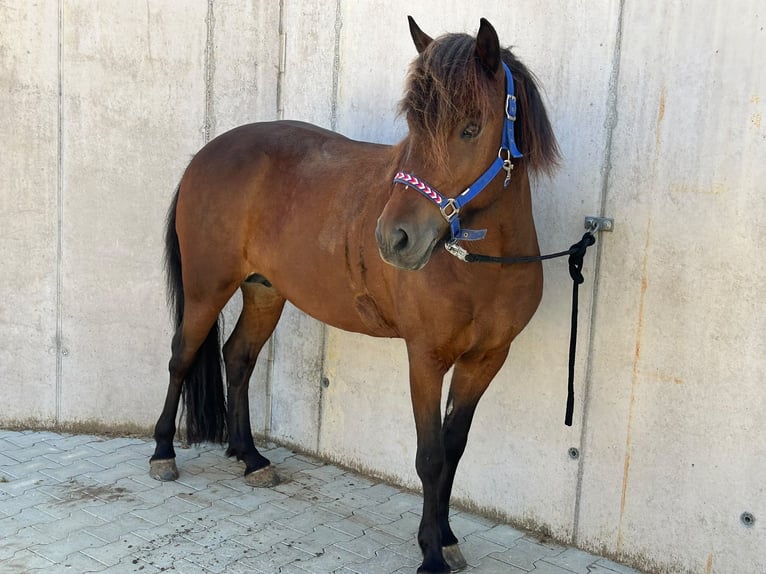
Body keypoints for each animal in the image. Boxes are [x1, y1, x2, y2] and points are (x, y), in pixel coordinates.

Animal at [149, 16, 559, 574]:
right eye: (414, 125)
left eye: (472, 127)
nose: (395, 239)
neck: (481, 266)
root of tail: (206, 155)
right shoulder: (425, 360)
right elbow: (430, 457)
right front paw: (431, 552)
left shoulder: (486, 360)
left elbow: (453, 451)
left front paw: (447, 537)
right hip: (205, 290)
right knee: (182, 358)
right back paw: (162, 453)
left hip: (264, 293)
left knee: (238, 358)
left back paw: (250, 457)